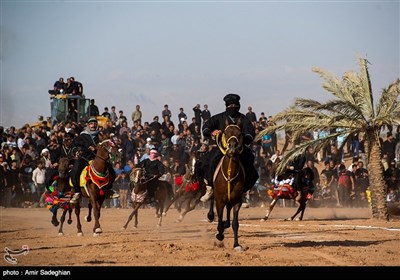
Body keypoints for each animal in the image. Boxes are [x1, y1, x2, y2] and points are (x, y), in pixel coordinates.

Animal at [206, 122, 247, 252]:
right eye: (225, 132)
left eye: (240, 134)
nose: (232, 148)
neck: (230, 175)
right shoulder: (220, 201)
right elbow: (219, 221)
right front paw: (219, 235)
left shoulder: (237, 201)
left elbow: (235, 224)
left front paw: (236, 245)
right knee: (212, 201)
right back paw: (211, 216)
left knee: (228, 214)